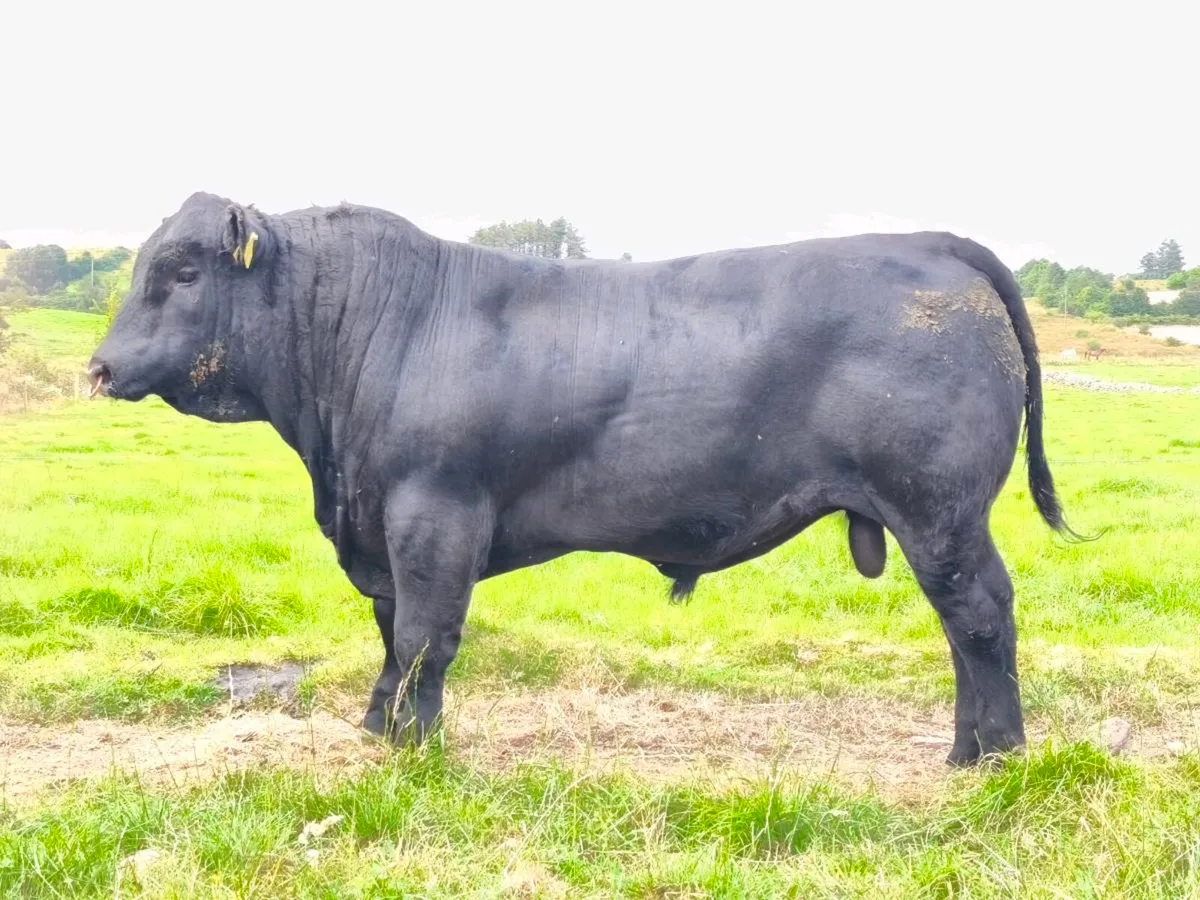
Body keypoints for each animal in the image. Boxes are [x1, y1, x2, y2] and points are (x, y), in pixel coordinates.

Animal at [88, 192, 1082, 767]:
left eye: (182, 269)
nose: (98, 368)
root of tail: (934, 242)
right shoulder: (380, 527)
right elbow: (389, 640)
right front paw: (379, 732)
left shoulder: (434, 516)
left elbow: (422, 640)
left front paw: (417, 753)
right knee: (961, 627)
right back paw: (966, 751)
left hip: (940, 512)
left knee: (980, 617)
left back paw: (996, 757)